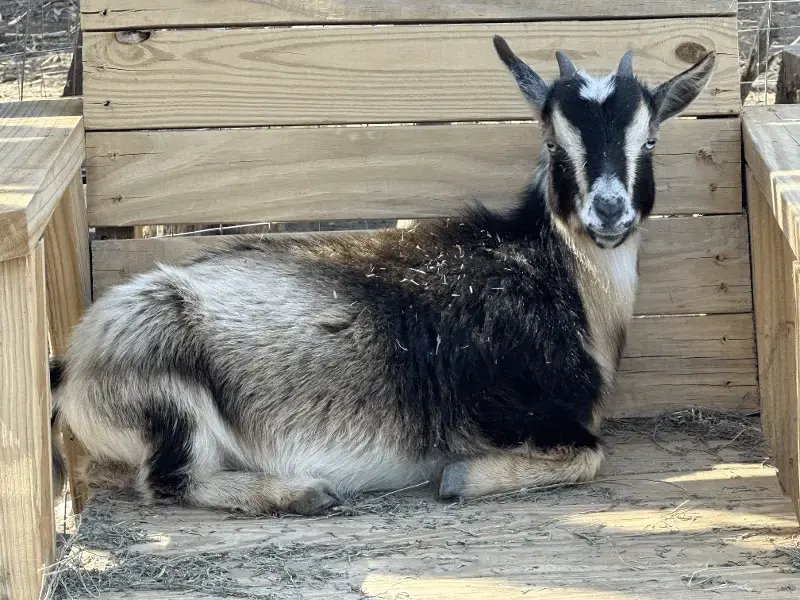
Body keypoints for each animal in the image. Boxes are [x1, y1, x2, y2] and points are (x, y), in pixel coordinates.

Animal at [53, 38, 720, 516]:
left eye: (650, 140)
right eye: (555, 145)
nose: (608, 210)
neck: (557, 277)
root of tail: (74, 365)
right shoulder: (509, 413)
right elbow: (589, 455)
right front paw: (461, 476)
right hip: (166, 398)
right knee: (170, 482)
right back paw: (301, 492)